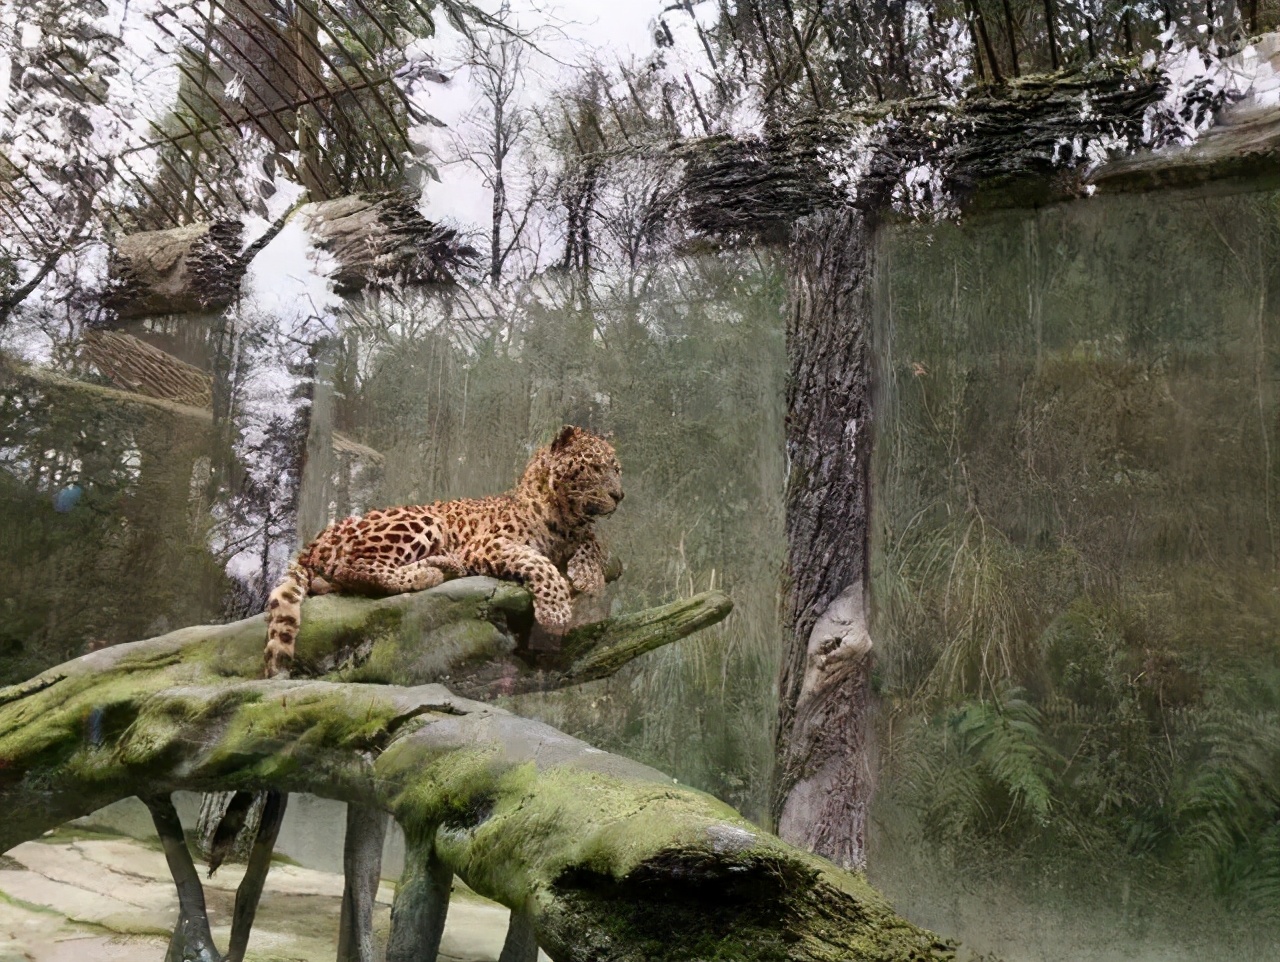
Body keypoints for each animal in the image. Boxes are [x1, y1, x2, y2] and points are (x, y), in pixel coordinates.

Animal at [262, 424, 622, 680]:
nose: (620, 495)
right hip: (423, 519)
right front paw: (556, 611)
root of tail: (312, 543)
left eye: (616, 469)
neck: (563, 516)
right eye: (595, 468)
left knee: (334, 580)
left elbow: (594, 541)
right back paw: (431, 572)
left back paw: (443, 565)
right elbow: (536, 560)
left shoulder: (578, 533)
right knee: (357, 569)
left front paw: (589, 575)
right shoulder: (485, 544)